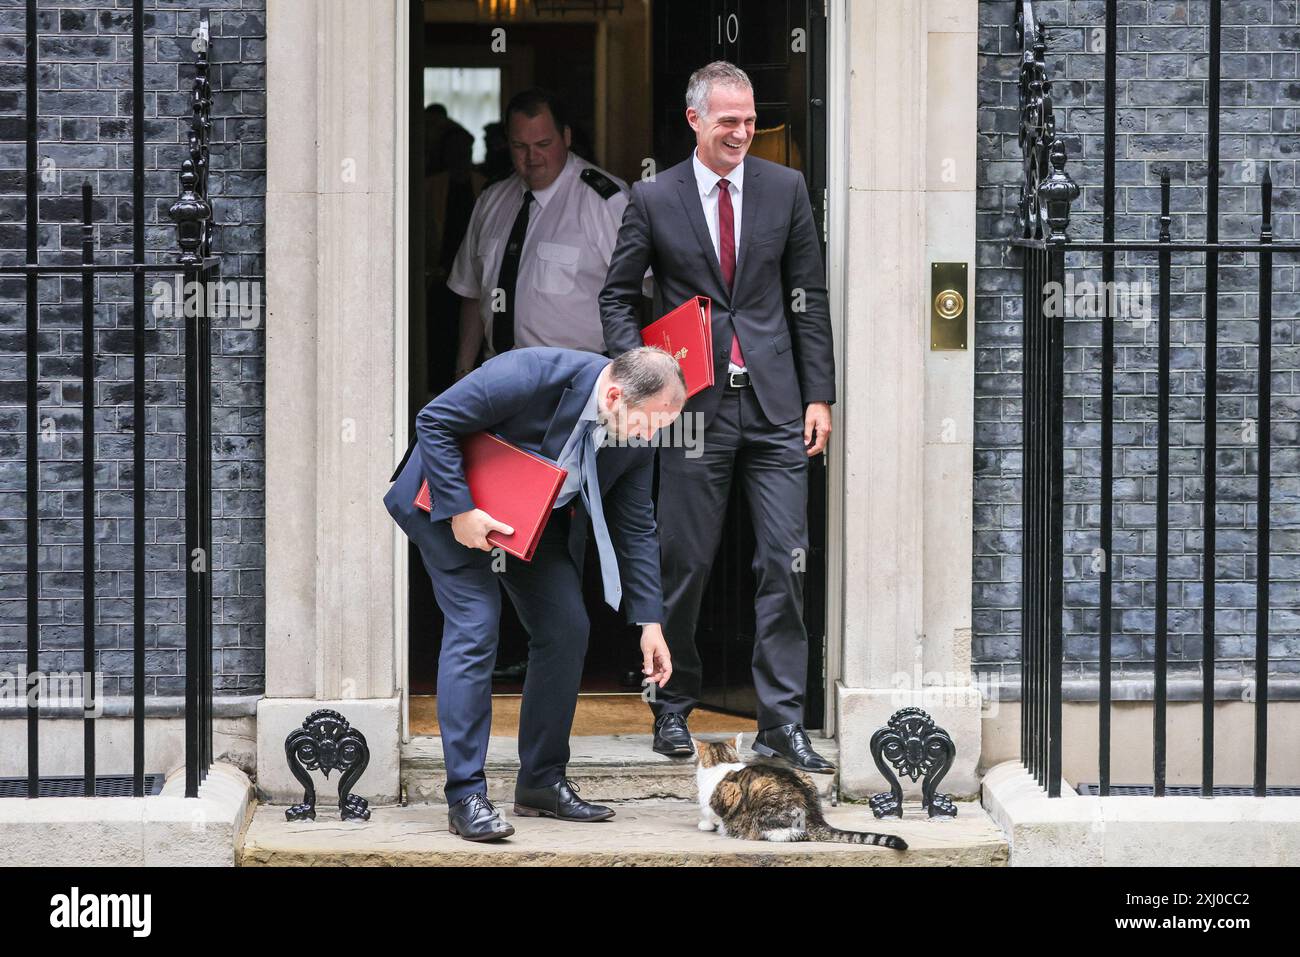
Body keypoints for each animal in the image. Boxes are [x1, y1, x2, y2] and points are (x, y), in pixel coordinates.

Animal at [696, 738, 909, 847]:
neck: (723, 762)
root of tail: (816, 818)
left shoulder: (725, 797)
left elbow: (713, 811)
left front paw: (707, 824)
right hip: (803, 774)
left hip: (765, 797)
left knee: (786, 833)